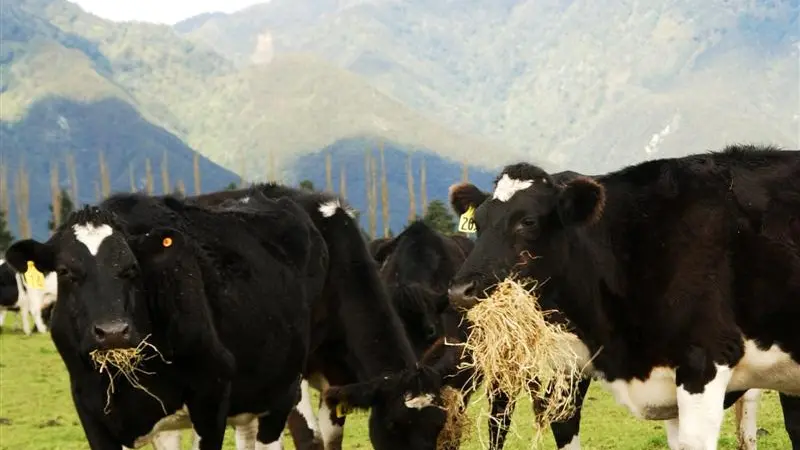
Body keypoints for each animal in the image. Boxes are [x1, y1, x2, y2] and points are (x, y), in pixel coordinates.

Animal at [3, 190, 326, 450]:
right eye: (65, 271)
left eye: (132, 268)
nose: (112, 332)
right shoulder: (90, 409)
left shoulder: (212, 395)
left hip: (282, 390)